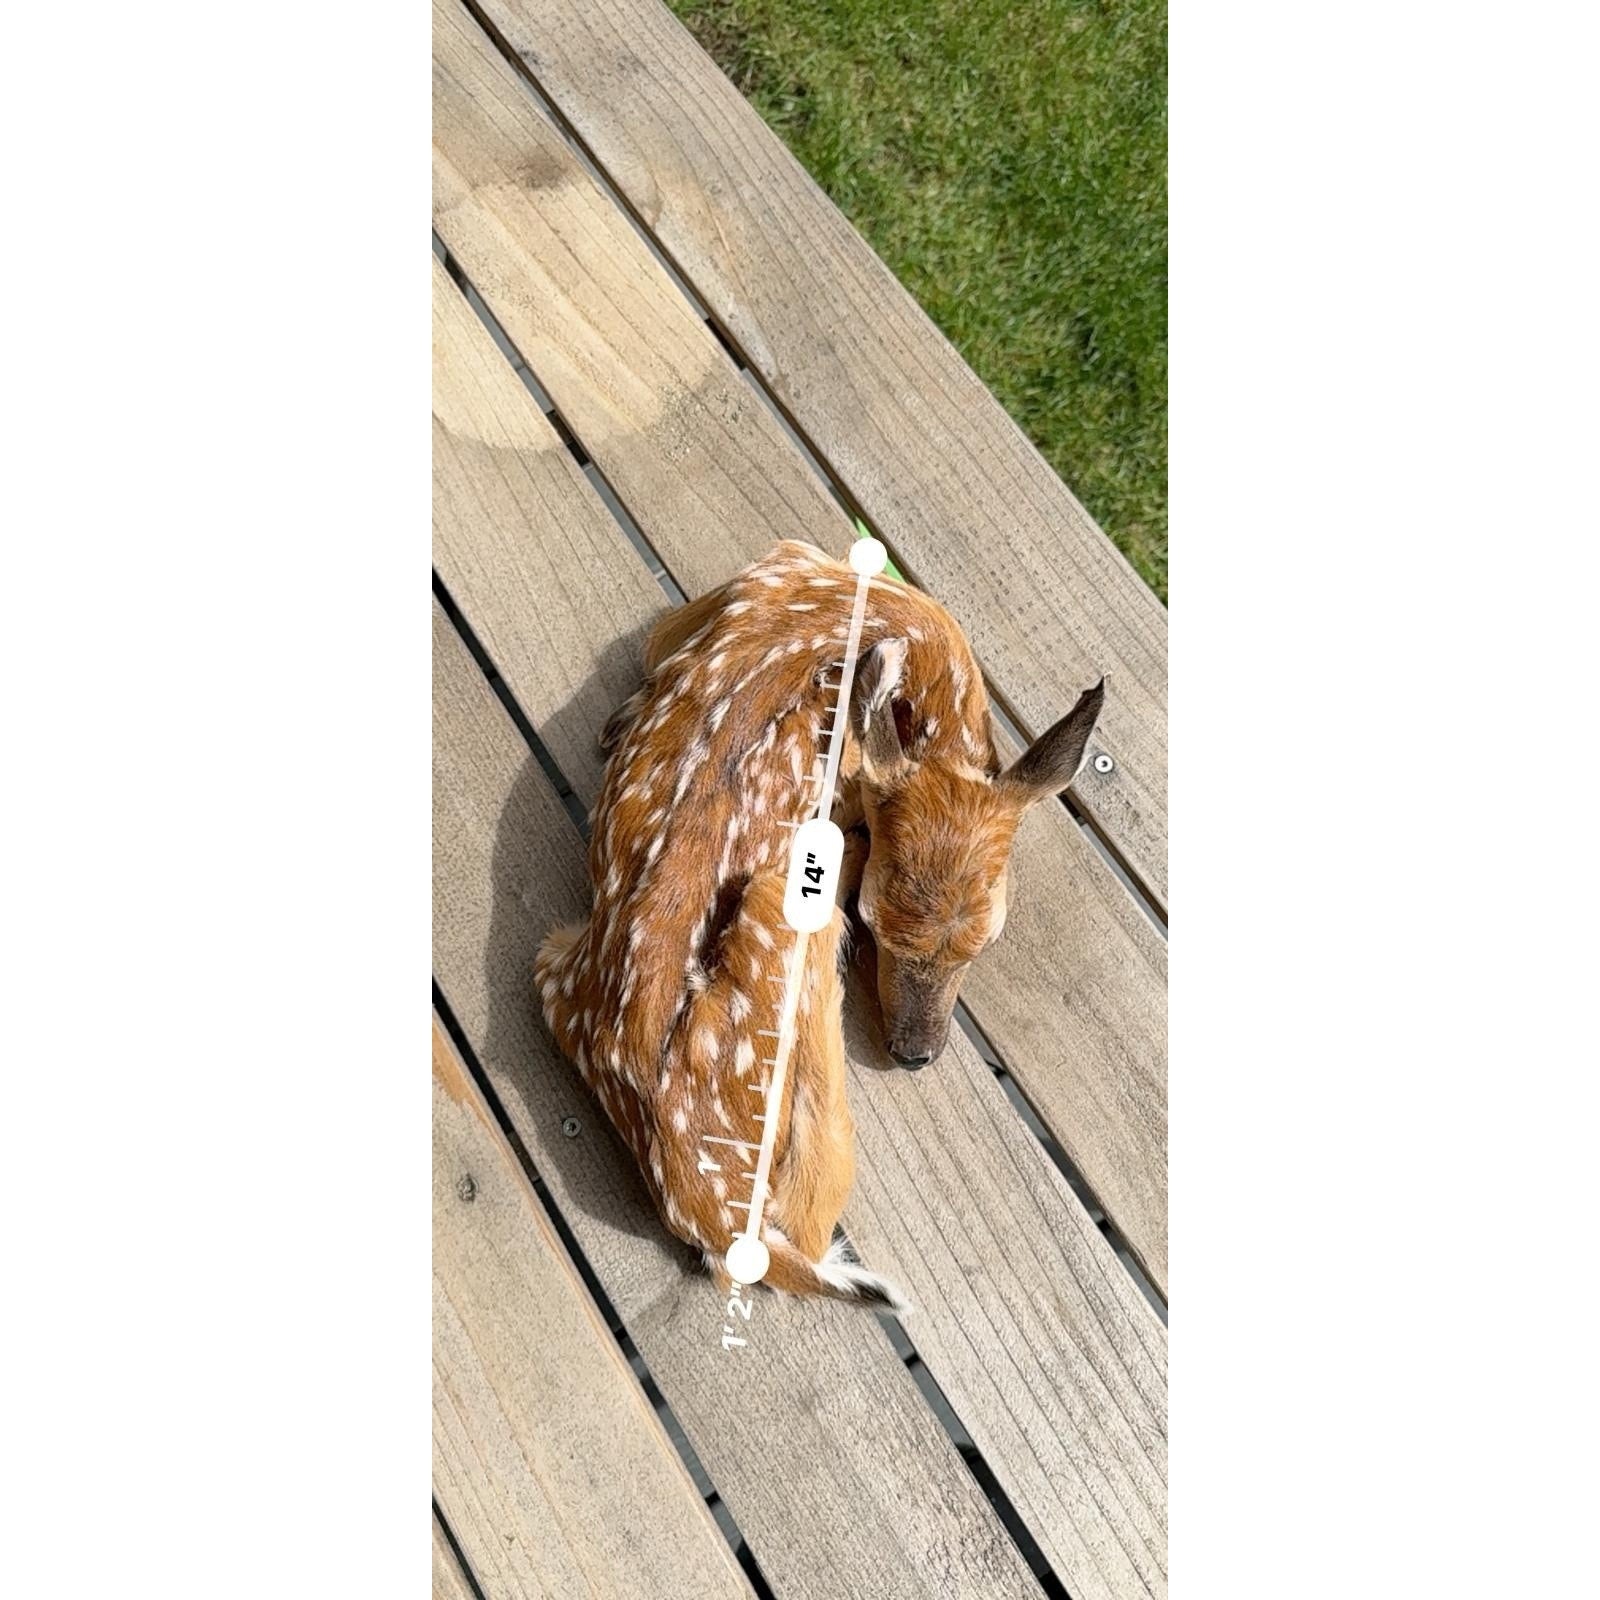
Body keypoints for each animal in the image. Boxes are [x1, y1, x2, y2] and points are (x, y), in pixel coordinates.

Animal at [536, 539, 1104, 1309]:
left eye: (985, 941)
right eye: (875, 924)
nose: (914, 1055)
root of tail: (706, 1209)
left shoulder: (767, 570)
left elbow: (655, 647)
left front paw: (623, 717)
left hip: (552, 960)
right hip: (787, 912)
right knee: (810, 1224)